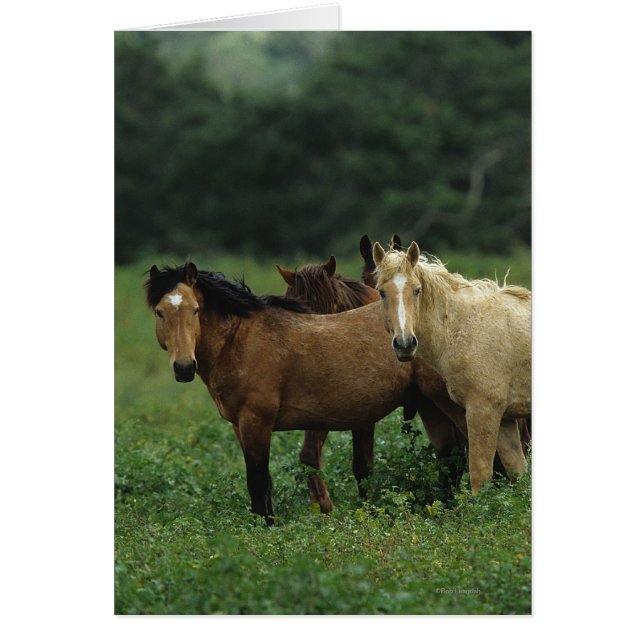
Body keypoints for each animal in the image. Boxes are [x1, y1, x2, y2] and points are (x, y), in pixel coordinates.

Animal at [145, 262, 464, 524]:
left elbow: (258, 482)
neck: (239, 339)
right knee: (450, 456)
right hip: (430, 406)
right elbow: (262, 484)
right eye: (160, 312)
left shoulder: (256, 422)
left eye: (195, 310)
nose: (184, 367)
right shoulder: (240, 426)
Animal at [372, 240, 531, 493]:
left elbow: (480, 475)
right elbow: (518, 473)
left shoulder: (483, 411)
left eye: (417, 290)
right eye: (381, 292)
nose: (405, 343)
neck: (463, 328)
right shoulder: (505, 419)